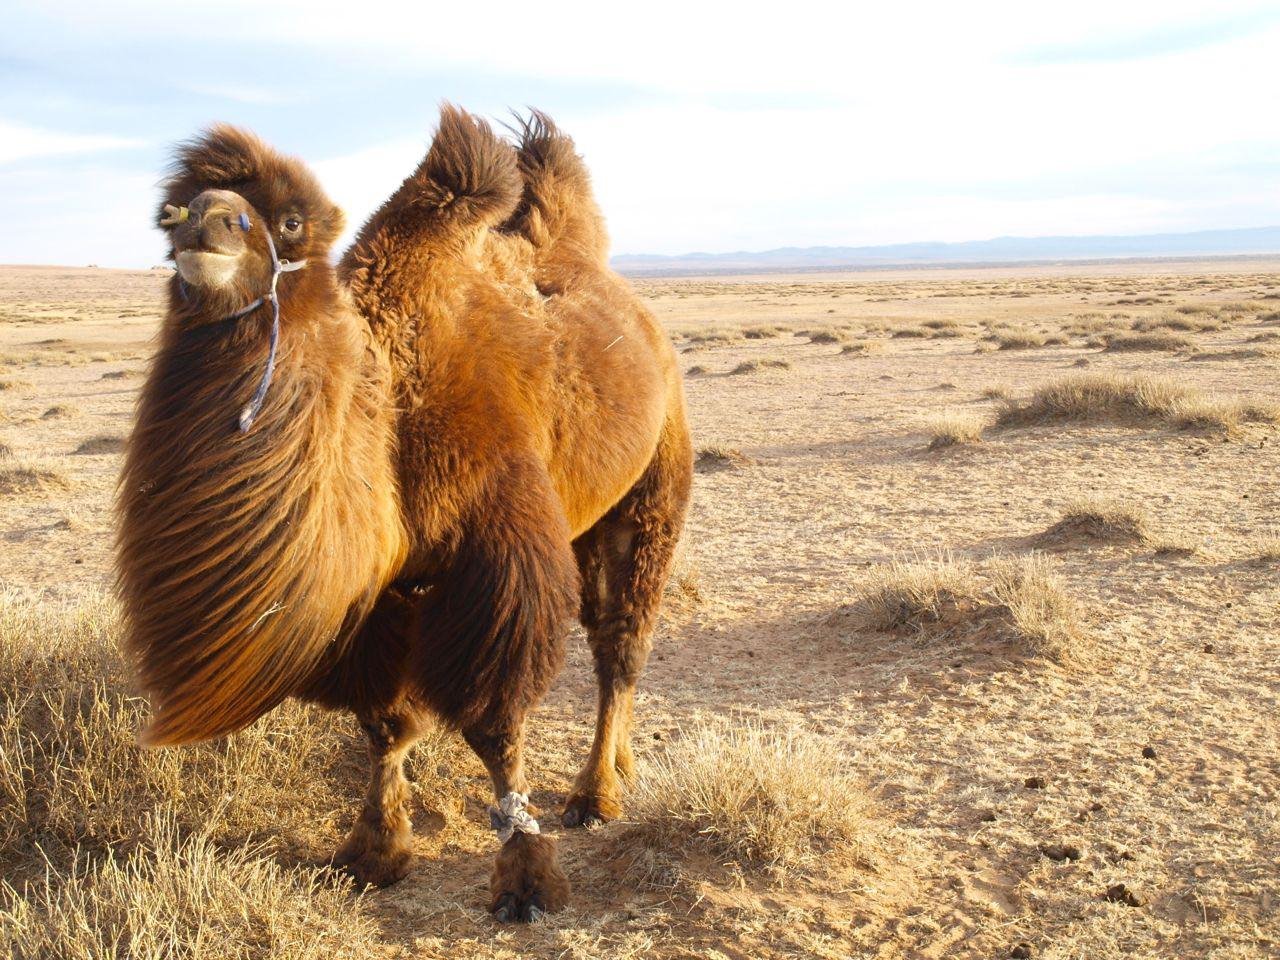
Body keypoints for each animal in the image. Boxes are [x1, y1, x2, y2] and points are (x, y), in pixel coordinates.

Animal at [120, 106, 696, 926]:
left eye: (290, 222)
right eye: (172, 212)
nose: (205, 223)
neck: (389, 404)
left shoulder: (498, 552)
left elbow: (495, 722)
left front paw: (525, 878)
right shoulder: (381, 591)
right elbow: (383, 721)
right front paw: (374, 851)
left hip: (653, 482)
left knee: (622, 640)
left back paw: (597, 794)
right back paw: (620, 764)